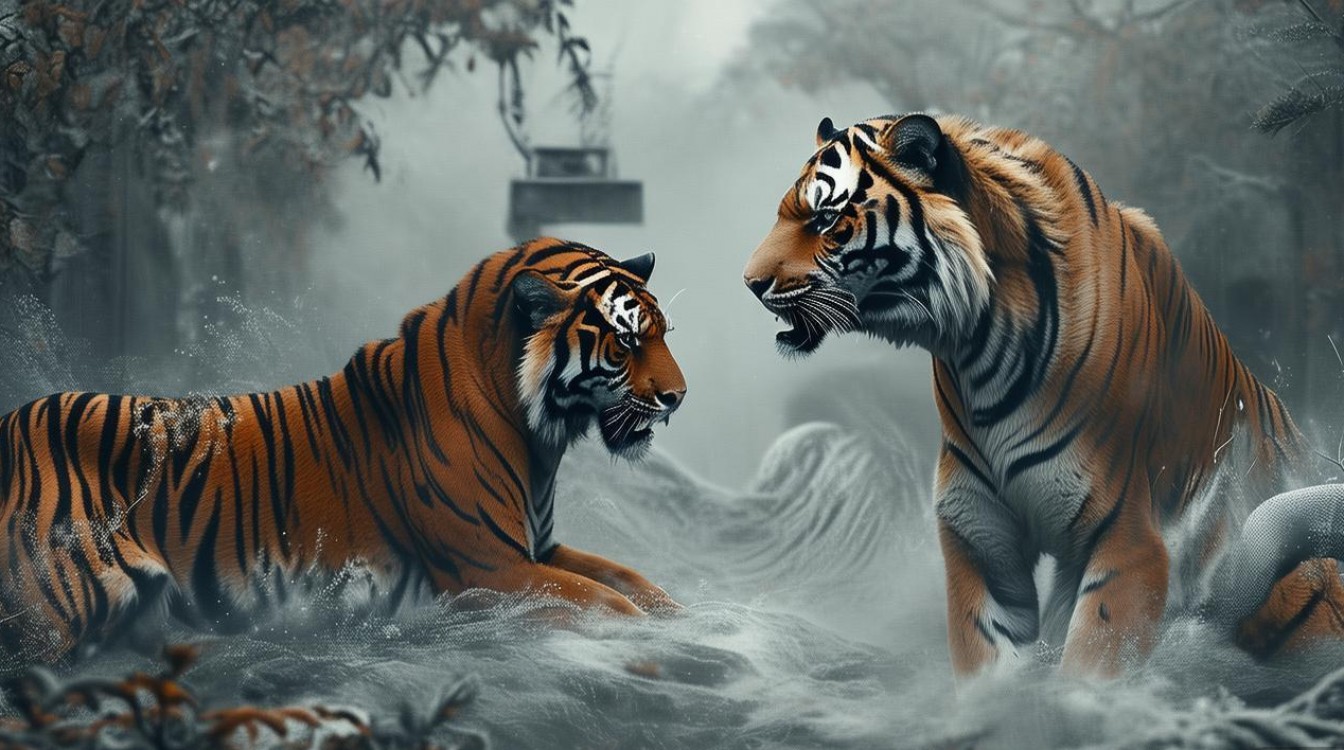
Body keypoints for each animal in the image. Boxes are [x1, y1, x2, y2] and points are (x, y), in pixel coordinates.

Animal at [0, 238, 686, 664]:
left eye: (662, 334)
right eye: (625, 342)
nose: (678, 398)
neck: (539, 436)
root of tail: (13, 418)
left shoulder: (539, 549)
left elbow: (633, 581)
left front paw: (682, 616)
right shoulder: (491, 568)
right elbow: (609, 603)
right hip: (66, 609)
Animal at [742, 113, 1344, 677]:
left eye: (826, 219)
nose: (749, 283)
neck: (977, 350)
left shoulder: (1130, 541)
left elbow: (1092, 662)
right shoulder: (977, 533)